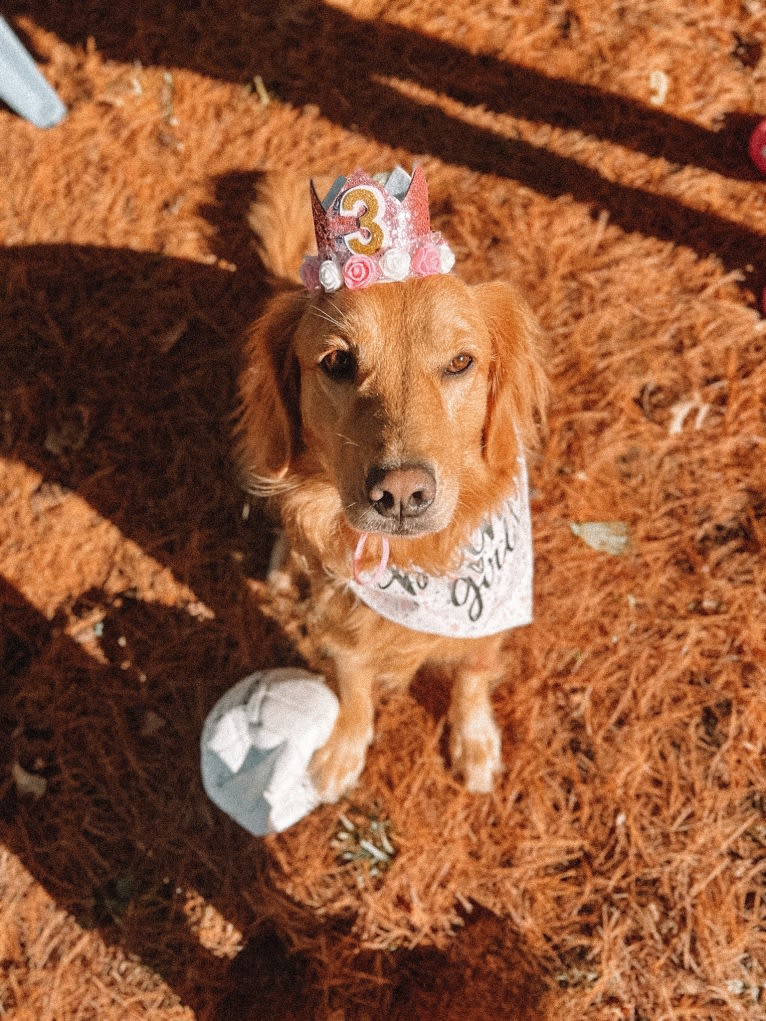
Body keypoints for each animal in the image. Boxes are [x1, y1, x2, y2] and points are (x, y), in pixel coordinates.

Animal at [240, 169, 547, 804]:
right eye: (337, 363)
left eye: (460, 362)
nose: (401, 494)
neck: (417, 564)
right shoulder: (342, 622)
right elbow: (353, 686)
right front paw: (343, 748)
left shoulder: (488, 624)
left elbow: (473, 675)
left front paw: (474, 741)